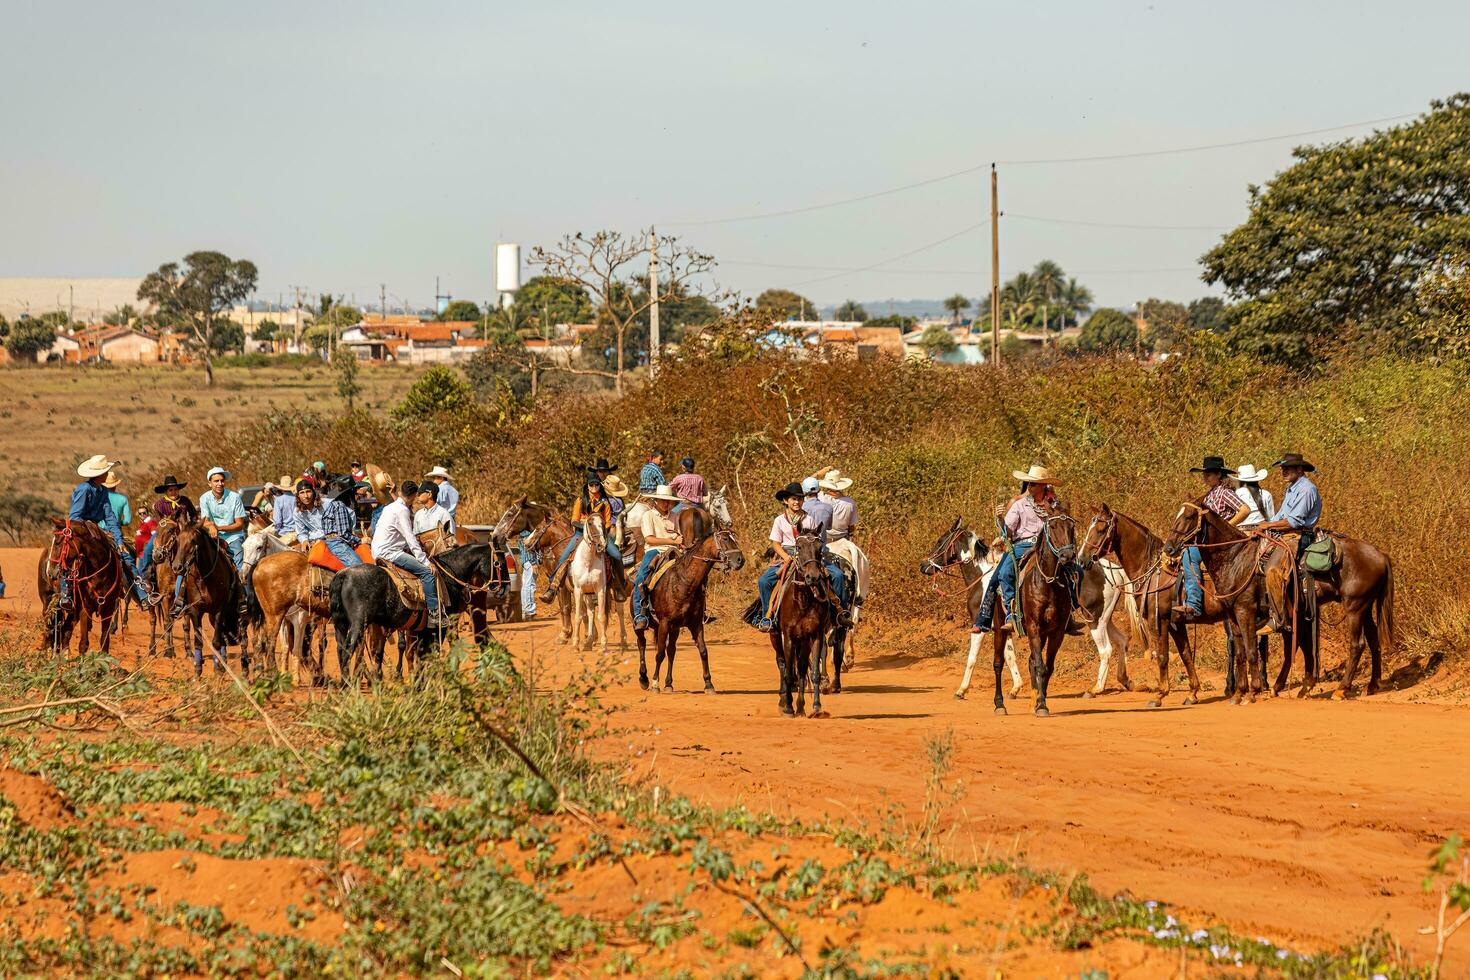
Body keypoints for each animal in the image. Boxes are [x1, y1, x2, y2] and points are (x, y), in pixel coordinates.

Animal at [38, 517, 125, 655]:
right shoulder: (85, 609)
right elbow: (84, 644)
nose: (50, 571)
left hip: (72, 611)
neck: (100, 573)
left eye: (57, 542)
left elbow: (104, 643)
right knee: (49, 630)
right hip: (48, 602)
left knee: (65, 631)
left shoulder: (108, 608)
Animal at [637, 525, 746, 693]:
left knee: (671, 651)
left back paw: (668, 684)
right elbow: (659, 653)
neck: (684, 582)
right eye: (725, 539)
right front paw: (655, 683)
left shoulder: (696, 624)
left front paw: (708, 684)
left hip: (674, 628)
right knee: (642, 644)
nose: (740, 560)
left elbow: (703, 650)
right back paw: (644, 679)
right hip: (643, 625)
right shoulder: (664, 623)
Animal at [987, 502, 1081, 717]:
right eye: (1052, 527)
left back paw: (1032, 702)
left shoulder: (1056, 632)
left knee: (1030, 662)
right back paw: (999, 704)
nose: (1067, 556)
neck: (1047, 582)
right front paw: (1042, 705)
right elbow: (1039, 665)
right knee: (998, 663)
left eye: (1072, 527)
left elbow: (1048, 667)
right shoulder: (1033, 627)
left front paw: (1041, 702)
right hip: (1000, 627)